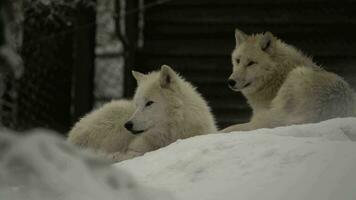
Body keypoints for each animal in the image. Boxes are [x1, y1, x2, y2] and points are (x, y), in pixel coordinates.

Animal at [68, 65, 216, 162]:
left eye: (149, 103)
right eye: (137, 104)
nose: (127, 125)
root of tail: (71, 136)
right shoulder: (135, 147)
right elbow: (132, 153)